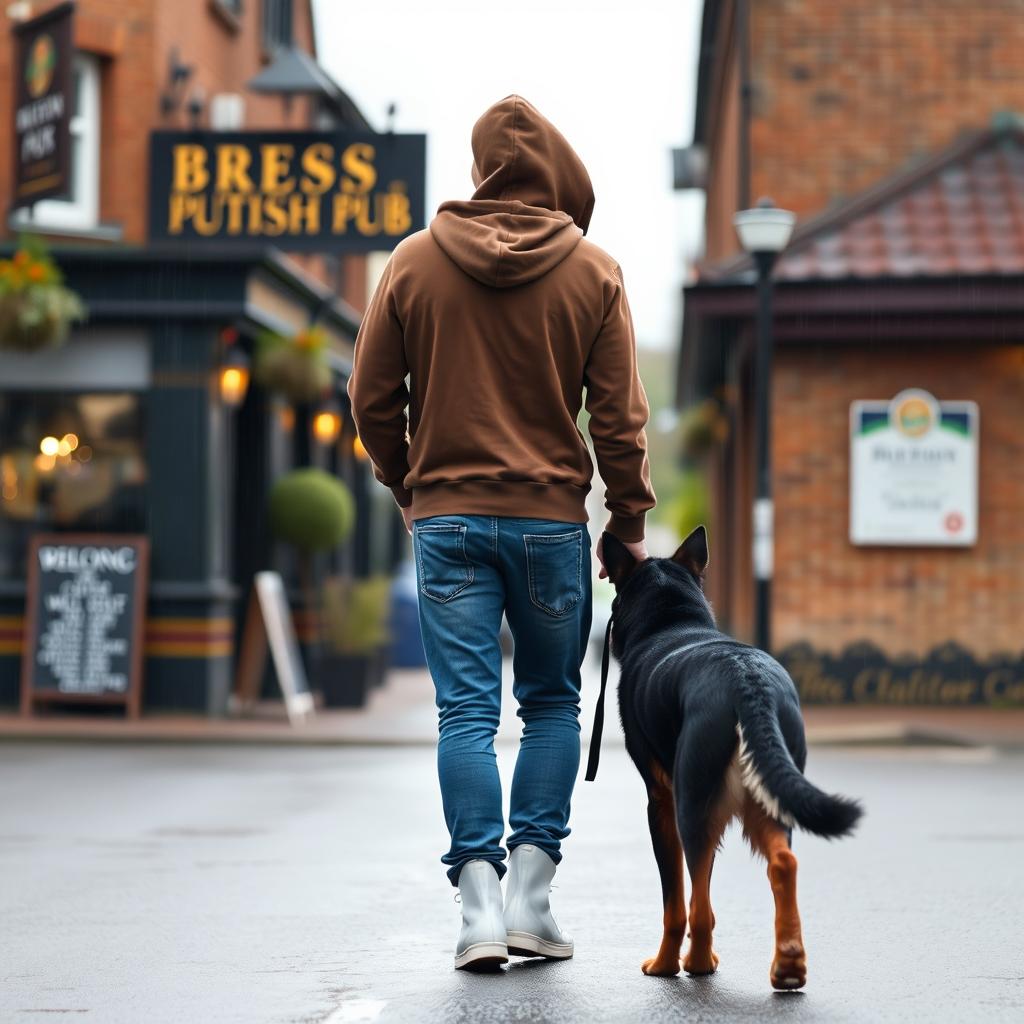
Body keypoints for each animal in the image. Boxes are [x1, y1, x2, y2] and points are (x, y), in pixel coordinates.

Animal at [598, 524, 864, 987]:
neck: (673, 618)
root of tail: (746, 681)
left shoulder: (661, 804)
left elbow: (677, 901)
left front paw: (667, 965)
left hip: (692, 808)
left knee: (698, 906)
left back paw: (692, 964)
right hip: (767, 795)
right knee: (783, 863)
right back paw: (788, 965)